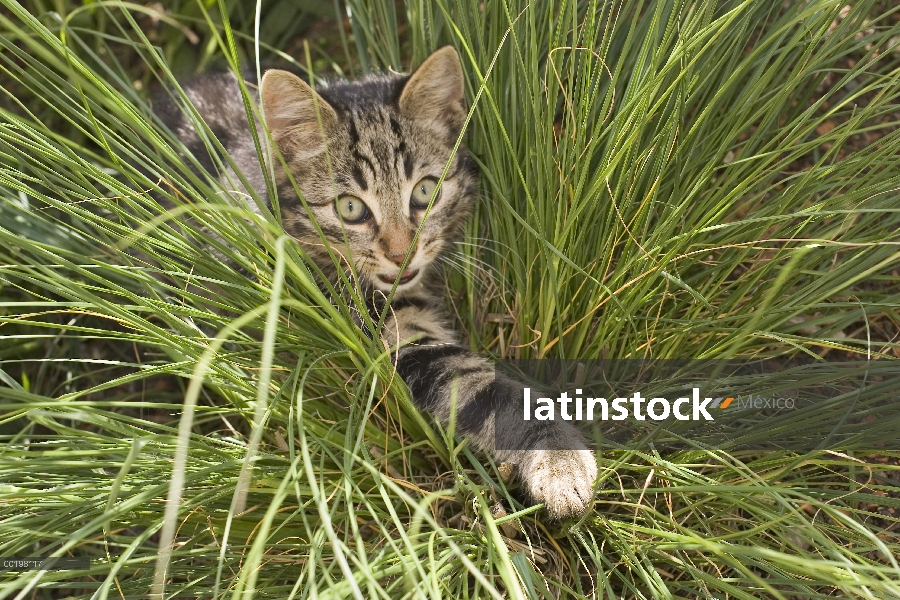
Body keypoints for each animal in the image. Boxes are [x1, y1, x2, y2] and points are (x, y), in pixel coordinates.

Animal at [156, 48, 596, 516]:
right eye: (350, 208)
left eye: (425, 191)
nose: (402, 254)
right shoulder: (391, 336)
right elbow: (487, 389)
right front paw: (561, 461)